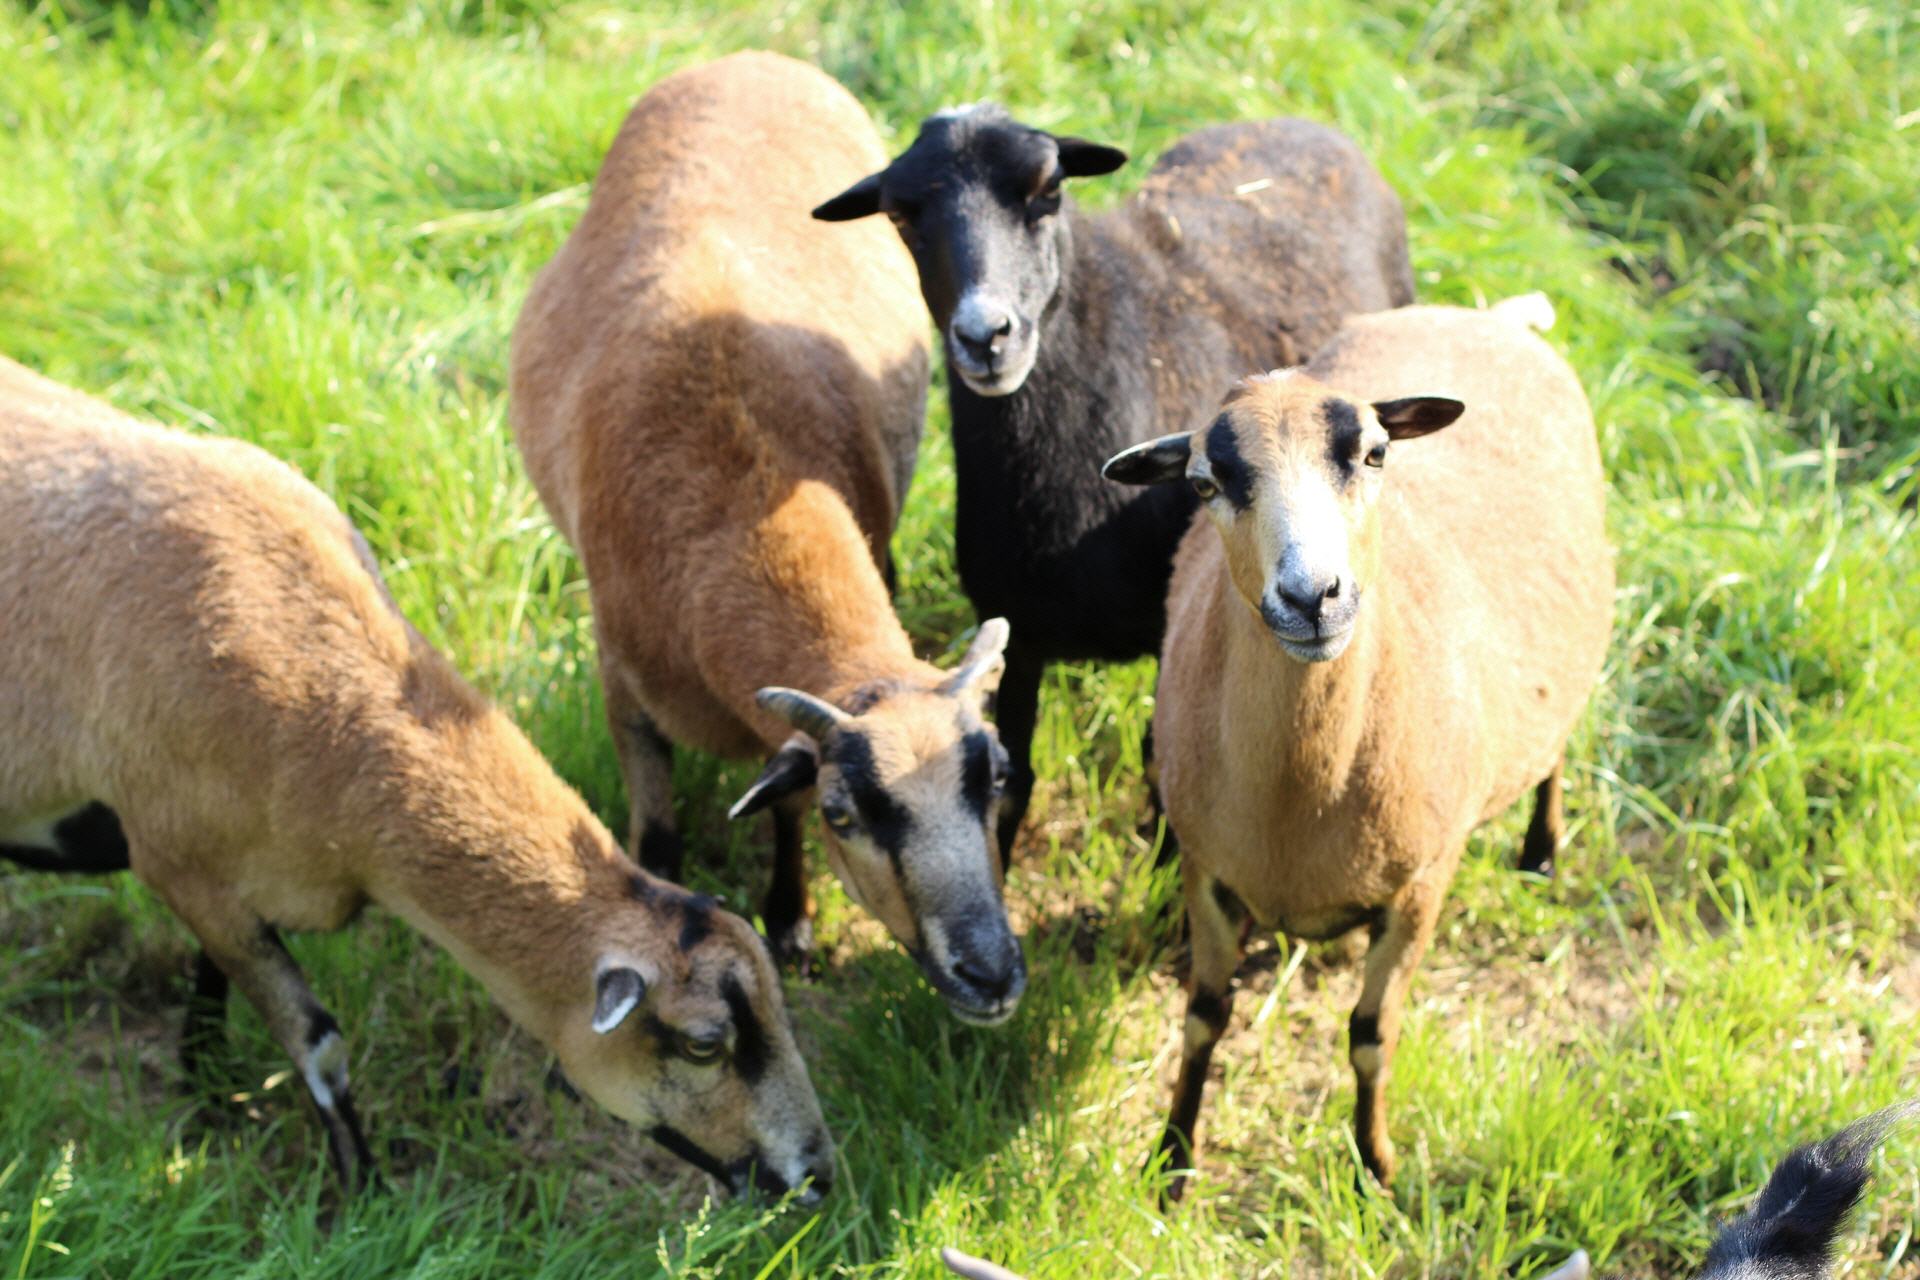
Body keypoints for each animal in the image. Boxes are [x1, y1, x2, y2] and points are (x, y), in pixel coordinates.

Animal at [0, 355, 832, 1202]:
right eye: (702, 1045)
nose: (815, 1176)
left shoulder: (223, 881)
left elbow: (215, 980)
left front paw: (201, 1075)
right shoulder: (179, 864)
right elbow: (319, 1045)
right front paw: (361, 1190)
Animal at [510, 52, 1027, 1025]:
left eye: (999, 775)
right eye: (846, 814)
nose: (992, 975)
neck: (737, 518)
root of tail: (744, 60)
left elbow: (774, 812)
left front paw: (789, 921)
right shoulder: (622, 685)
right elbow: (656, 831)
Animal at [813, 104, 1415, 861]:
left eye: (1048, 189)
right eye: (900, 214)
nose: (986, 337)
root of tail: (1301, 120)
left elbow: (1162, 769)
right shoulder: (1020, 624)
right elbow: (1014, 778)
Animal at [1102, 297, 1614, 1196]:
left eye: (1375, 453)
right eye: (1204, 483)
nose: (1314, 597)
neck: (1301, 792)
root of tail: (1489, 314)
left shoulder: (1420, 889)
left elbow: (1373, 1033)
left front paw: (1375, 1167)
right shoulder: (1208, 870)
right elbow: (1203, 1017)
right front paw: (1171, 1160)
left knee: (1553, 745)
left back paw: (1541, 852)